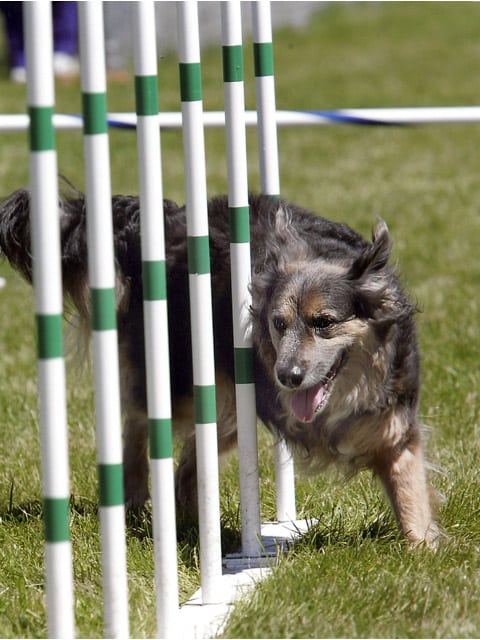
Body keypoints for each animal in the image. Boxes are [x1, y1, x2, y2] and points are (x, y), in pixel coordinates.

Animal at [0, 188, 438, 548]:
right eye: (278, 324)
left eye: (324, 322)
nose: (287, 377)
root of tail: (169, 220)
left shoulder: (394, 427)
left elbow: (409, 493)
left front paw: (423, 552)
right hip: (187, 378)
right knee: (140, 418)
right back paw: (136, 497)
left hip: (229, 406)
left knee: (185, 467)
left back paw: (198, 529)